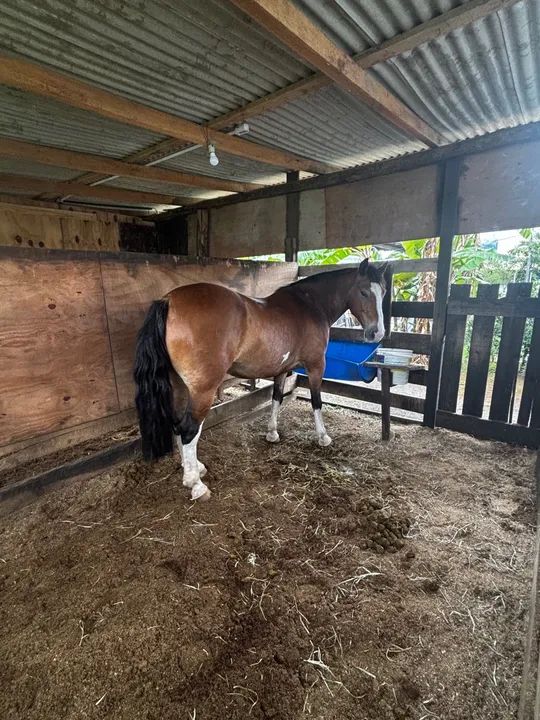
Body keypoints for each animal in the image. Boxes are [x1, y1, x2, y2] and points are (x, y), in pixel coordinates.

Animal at [134, 259, 387, 501]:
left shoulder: (282, 369)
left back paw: (194, 467)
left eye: (383, 292)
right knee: (189, 428)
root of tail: (169, 300)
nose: (378, 333)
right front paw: (323, 437)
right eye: (364, 291)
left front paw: (272, 433)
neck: (309, 305)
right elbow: (316, 402)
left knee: (178, 425)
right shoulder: (316, 366)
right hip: (203, 390)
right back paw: (196, 484)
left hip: (179, 386)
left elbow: (276, 398)